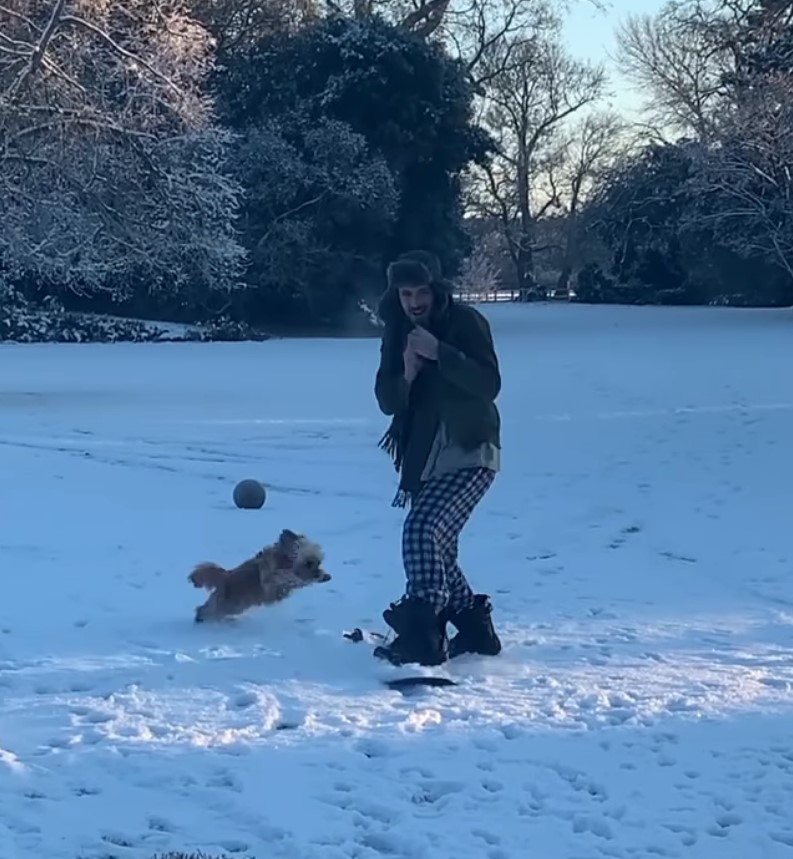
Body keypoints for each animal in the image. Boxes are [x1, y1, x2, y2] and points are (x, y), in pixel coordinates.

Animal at [189, 528, 332, 620]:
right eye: (309, 563)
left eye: (319, 562)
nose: (325, 576)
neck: (284, 559)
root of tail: (224, 577)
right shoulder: (275, 578)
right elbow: (294, 578)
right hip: (227, 605)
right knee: (204, 610)